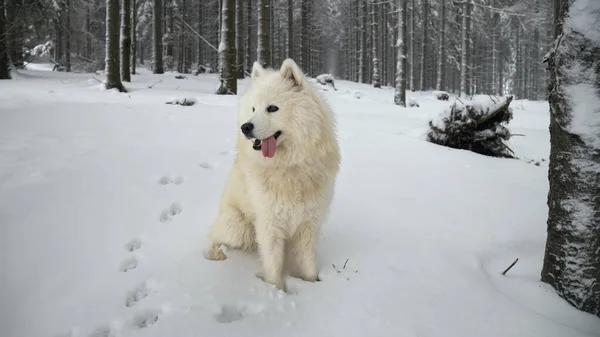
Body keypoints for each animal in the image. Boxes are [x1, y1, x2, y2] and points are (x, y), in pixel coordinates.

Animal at [205, 58, 338, 292]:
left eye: (272, 108)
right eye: (253, 108)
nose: (245, 127)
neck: (289, 166)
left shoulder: (309, 223)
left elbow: (308, 264)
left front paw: (312, 285)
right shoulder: (269, 222)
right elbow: (273, 263)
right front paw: (276, 291)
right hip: (239, 228)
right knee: (214, 236)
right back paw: (217, 255)